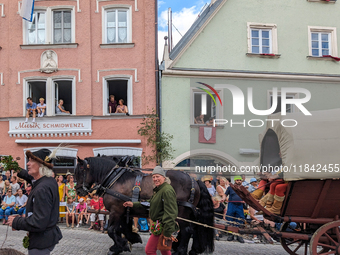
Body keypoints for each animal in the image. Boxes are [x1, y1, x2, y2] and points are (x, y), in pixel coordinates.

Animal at [74, 156, 214, 255]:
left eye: (79, 172)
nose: (78, 191)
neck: (115, 178)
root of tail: (194, 180)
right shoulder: (124, 211)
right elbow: (123, 228)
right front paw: (128, 241)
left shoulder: (116, 211)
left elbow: (111, 230)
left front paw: (119, 246)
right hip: (189, 213)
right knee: (194, 229)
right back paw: (191, 249)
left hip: (182, 212)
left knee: (187, 231)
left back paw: (180, 251)